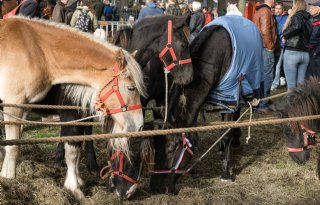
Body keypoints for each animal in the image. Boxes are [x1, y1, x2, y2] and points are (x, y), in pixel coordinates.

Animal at [0, 16, 146, 199]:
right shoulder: (16, 105)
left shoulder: (26, 108)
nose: (139, 125)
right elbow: (14, 148)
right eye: (131, 88)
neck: (37, 51)